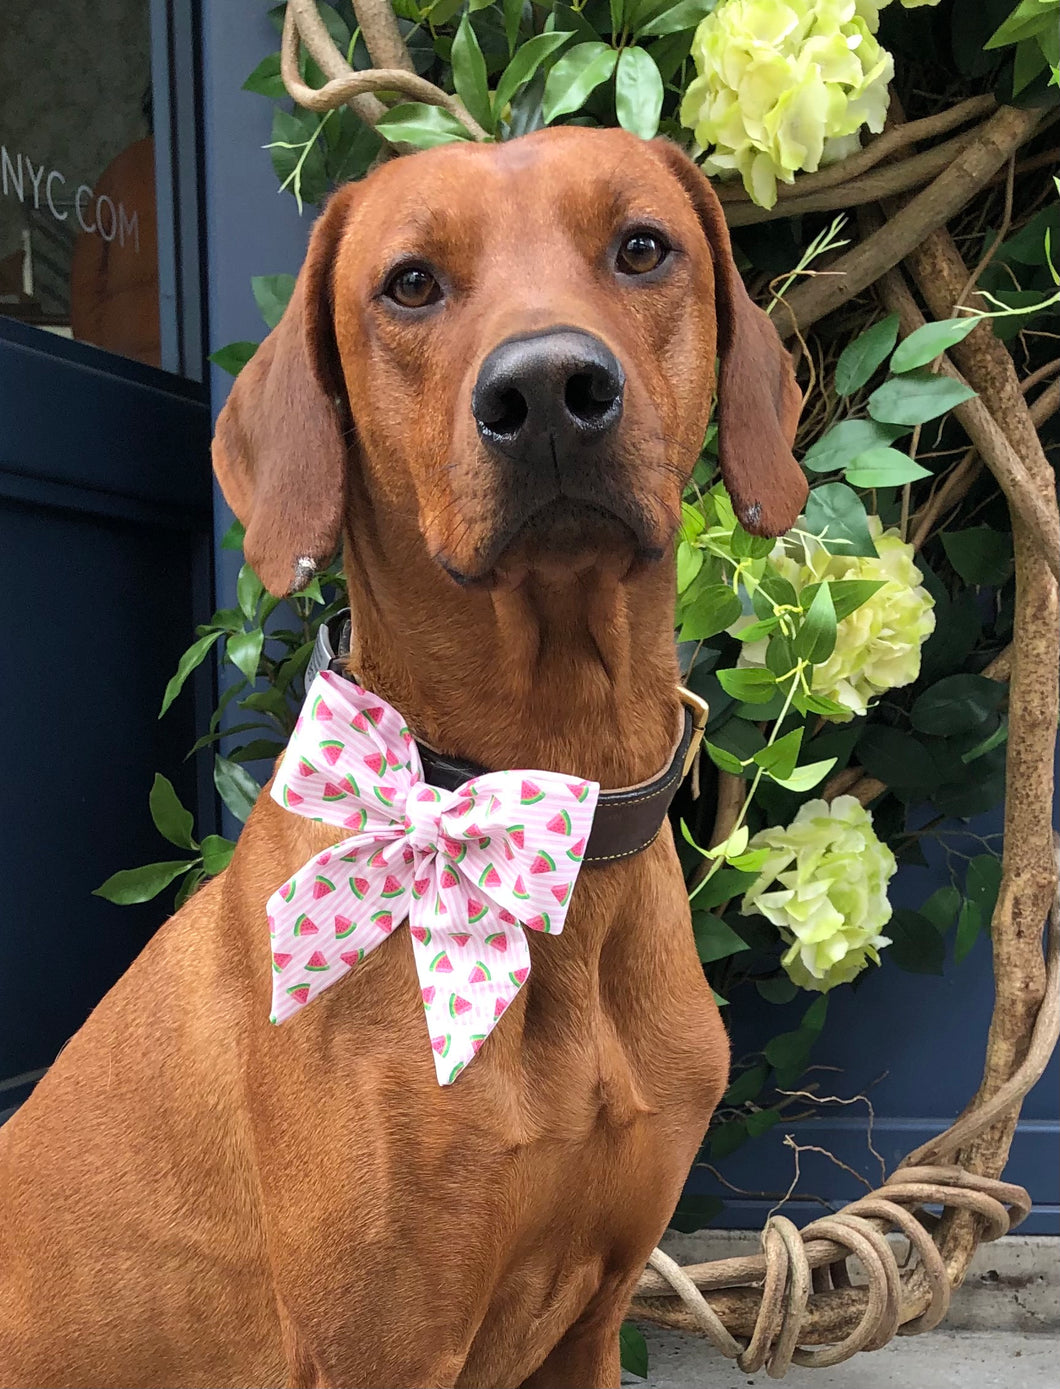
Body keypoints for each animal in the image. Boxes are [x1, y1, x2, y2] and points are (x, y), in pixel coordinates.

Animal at [0, 130, 805, 1389]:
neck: (533, 775)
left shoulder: (592, 1322)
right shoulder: (381, 1343)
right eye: (411, 283)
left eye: (641, 247)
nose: (547, 392)